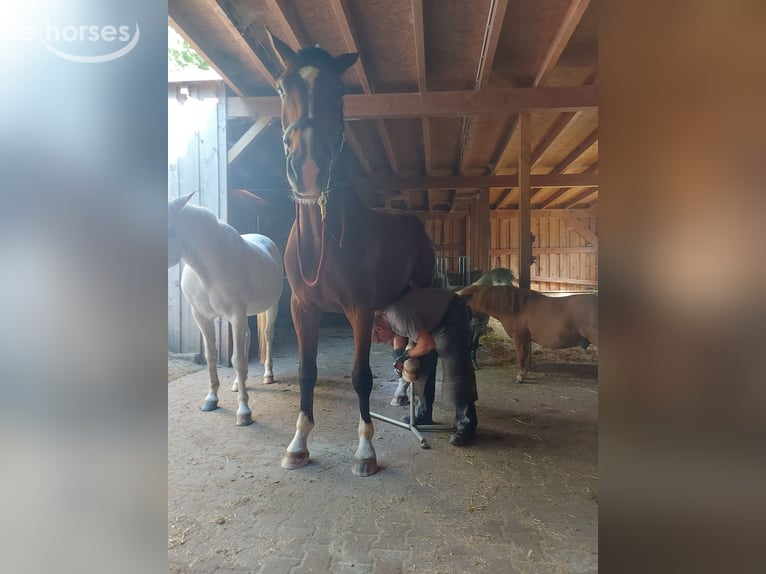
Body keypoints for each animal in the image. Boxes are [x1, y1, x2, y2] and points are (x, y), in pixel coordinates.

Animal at [168, 192, 284, 425]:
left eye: (169, 229)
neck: (208, 271)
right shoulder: (202, 317)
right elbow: (212, 355)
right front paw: (211, 400)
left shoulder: (236, 314)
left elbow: (237, 360)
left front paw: (244, 412)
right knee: (248, 339)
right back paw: (239, 384)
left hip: (270, 307)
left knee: (268, 335)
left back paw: (267, 376)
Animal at [266, 30, 436, 476]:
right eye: (281, 86)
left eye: (339, 92)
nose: (308, 169)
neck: (323, 242)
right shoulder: (302, 308)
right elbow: (307, 372)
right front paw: (298, 444)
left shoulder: (359, 310)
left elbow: (361, 376)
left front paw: (365, 452)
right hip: (392, 304)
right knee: (403, 346)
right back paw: (400, 394)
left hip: (414, 295)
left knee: (415, 350)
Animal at [458, 284, 598, 383]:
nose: (472, 325)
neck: (515, 308)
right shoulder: (525, 340)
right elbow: (525, 357)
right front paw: (524, 374)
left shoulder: (519, 339)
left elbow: (521, 357)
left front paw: (520, 377)